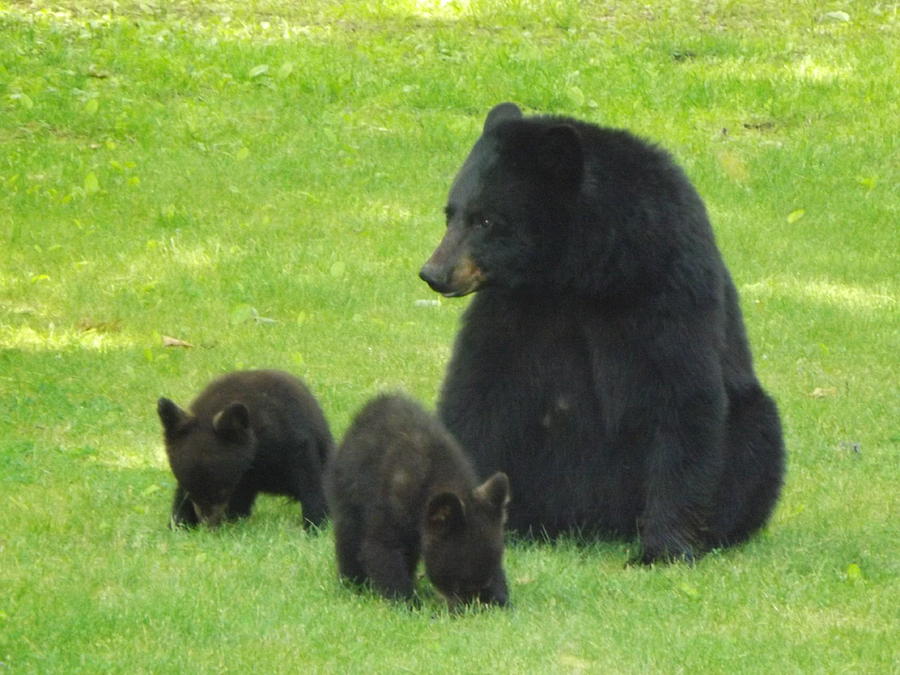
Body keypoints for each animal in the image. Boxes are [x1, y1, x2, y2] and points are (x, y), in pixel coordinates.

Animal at [157, 372, 334, 532]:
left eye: (222, 490)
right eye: (191, 491)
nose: (209, 525)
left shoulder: (292, 444)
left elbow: (310, 481)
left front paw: (314, 526)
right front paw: (179, 524)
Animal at [326, 390, 510, 608]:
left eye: (487, 577)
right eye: (459, 583)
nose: (469, 609)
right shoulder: (390, 509)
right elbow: (381, 551)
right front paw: (407, 602)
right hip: (347, 499)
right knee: (348, 535)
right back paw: (353, 583)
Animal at [418, 101, 784, 564]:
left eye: (486, 219)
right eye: (451, 213)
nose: (433, 273)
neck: (577, 275)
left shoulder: (665, 283)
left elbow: (681, 396)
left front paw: (663, 549)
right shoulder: (511, 308)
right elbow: (478, 396)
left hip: (749, 427)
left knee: (756, 437)